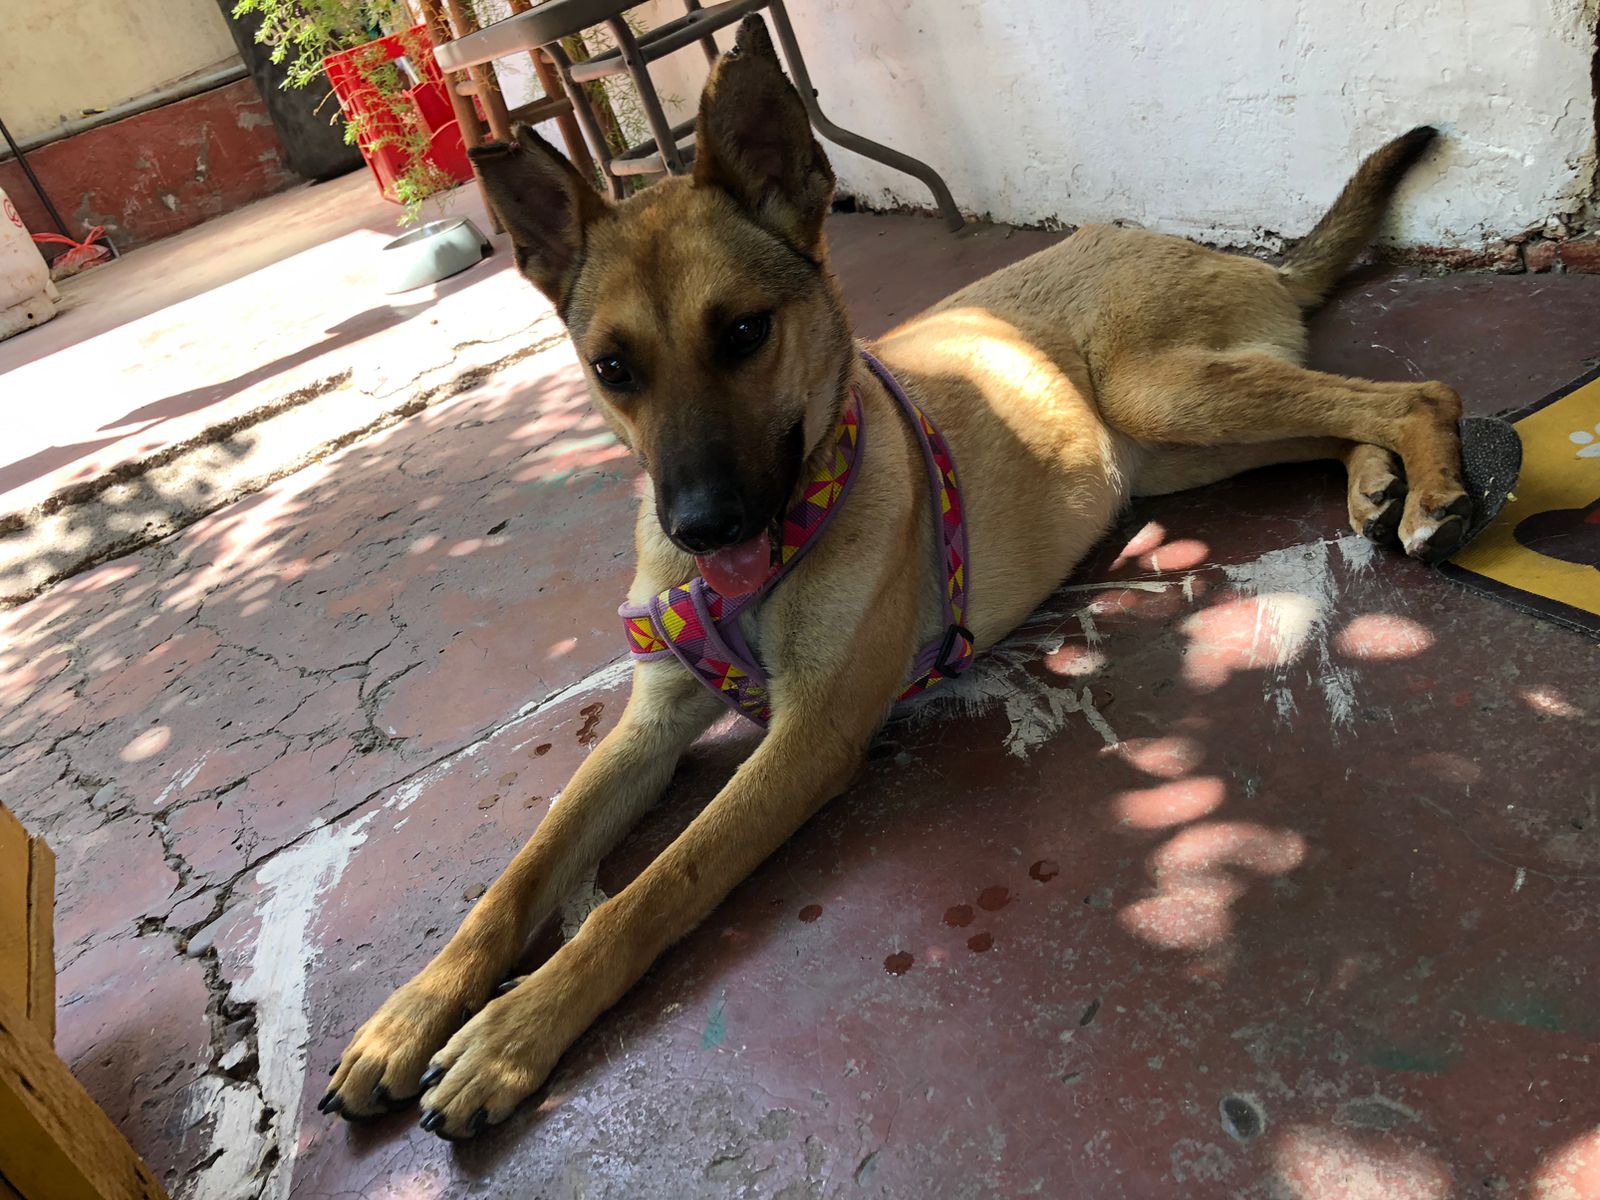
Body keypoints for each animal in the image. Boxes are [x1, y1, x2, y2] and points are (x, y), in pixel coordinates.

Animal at [322, 15, 1468, 1138]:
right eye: (613, 370)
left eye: (744, 332)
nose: (700, 526)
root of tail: (1200, 246)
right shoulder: (646, 731)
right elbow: (516, 877)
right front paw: (412, 1013)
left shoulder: (809, 737)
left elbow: (651, 887)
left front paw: (515, 1030)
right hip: (1178, 442)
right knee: (1339, 412)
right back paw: (1373, 483)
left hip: (1165, 396)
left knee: (1415, 390)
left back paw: (1428, 486)